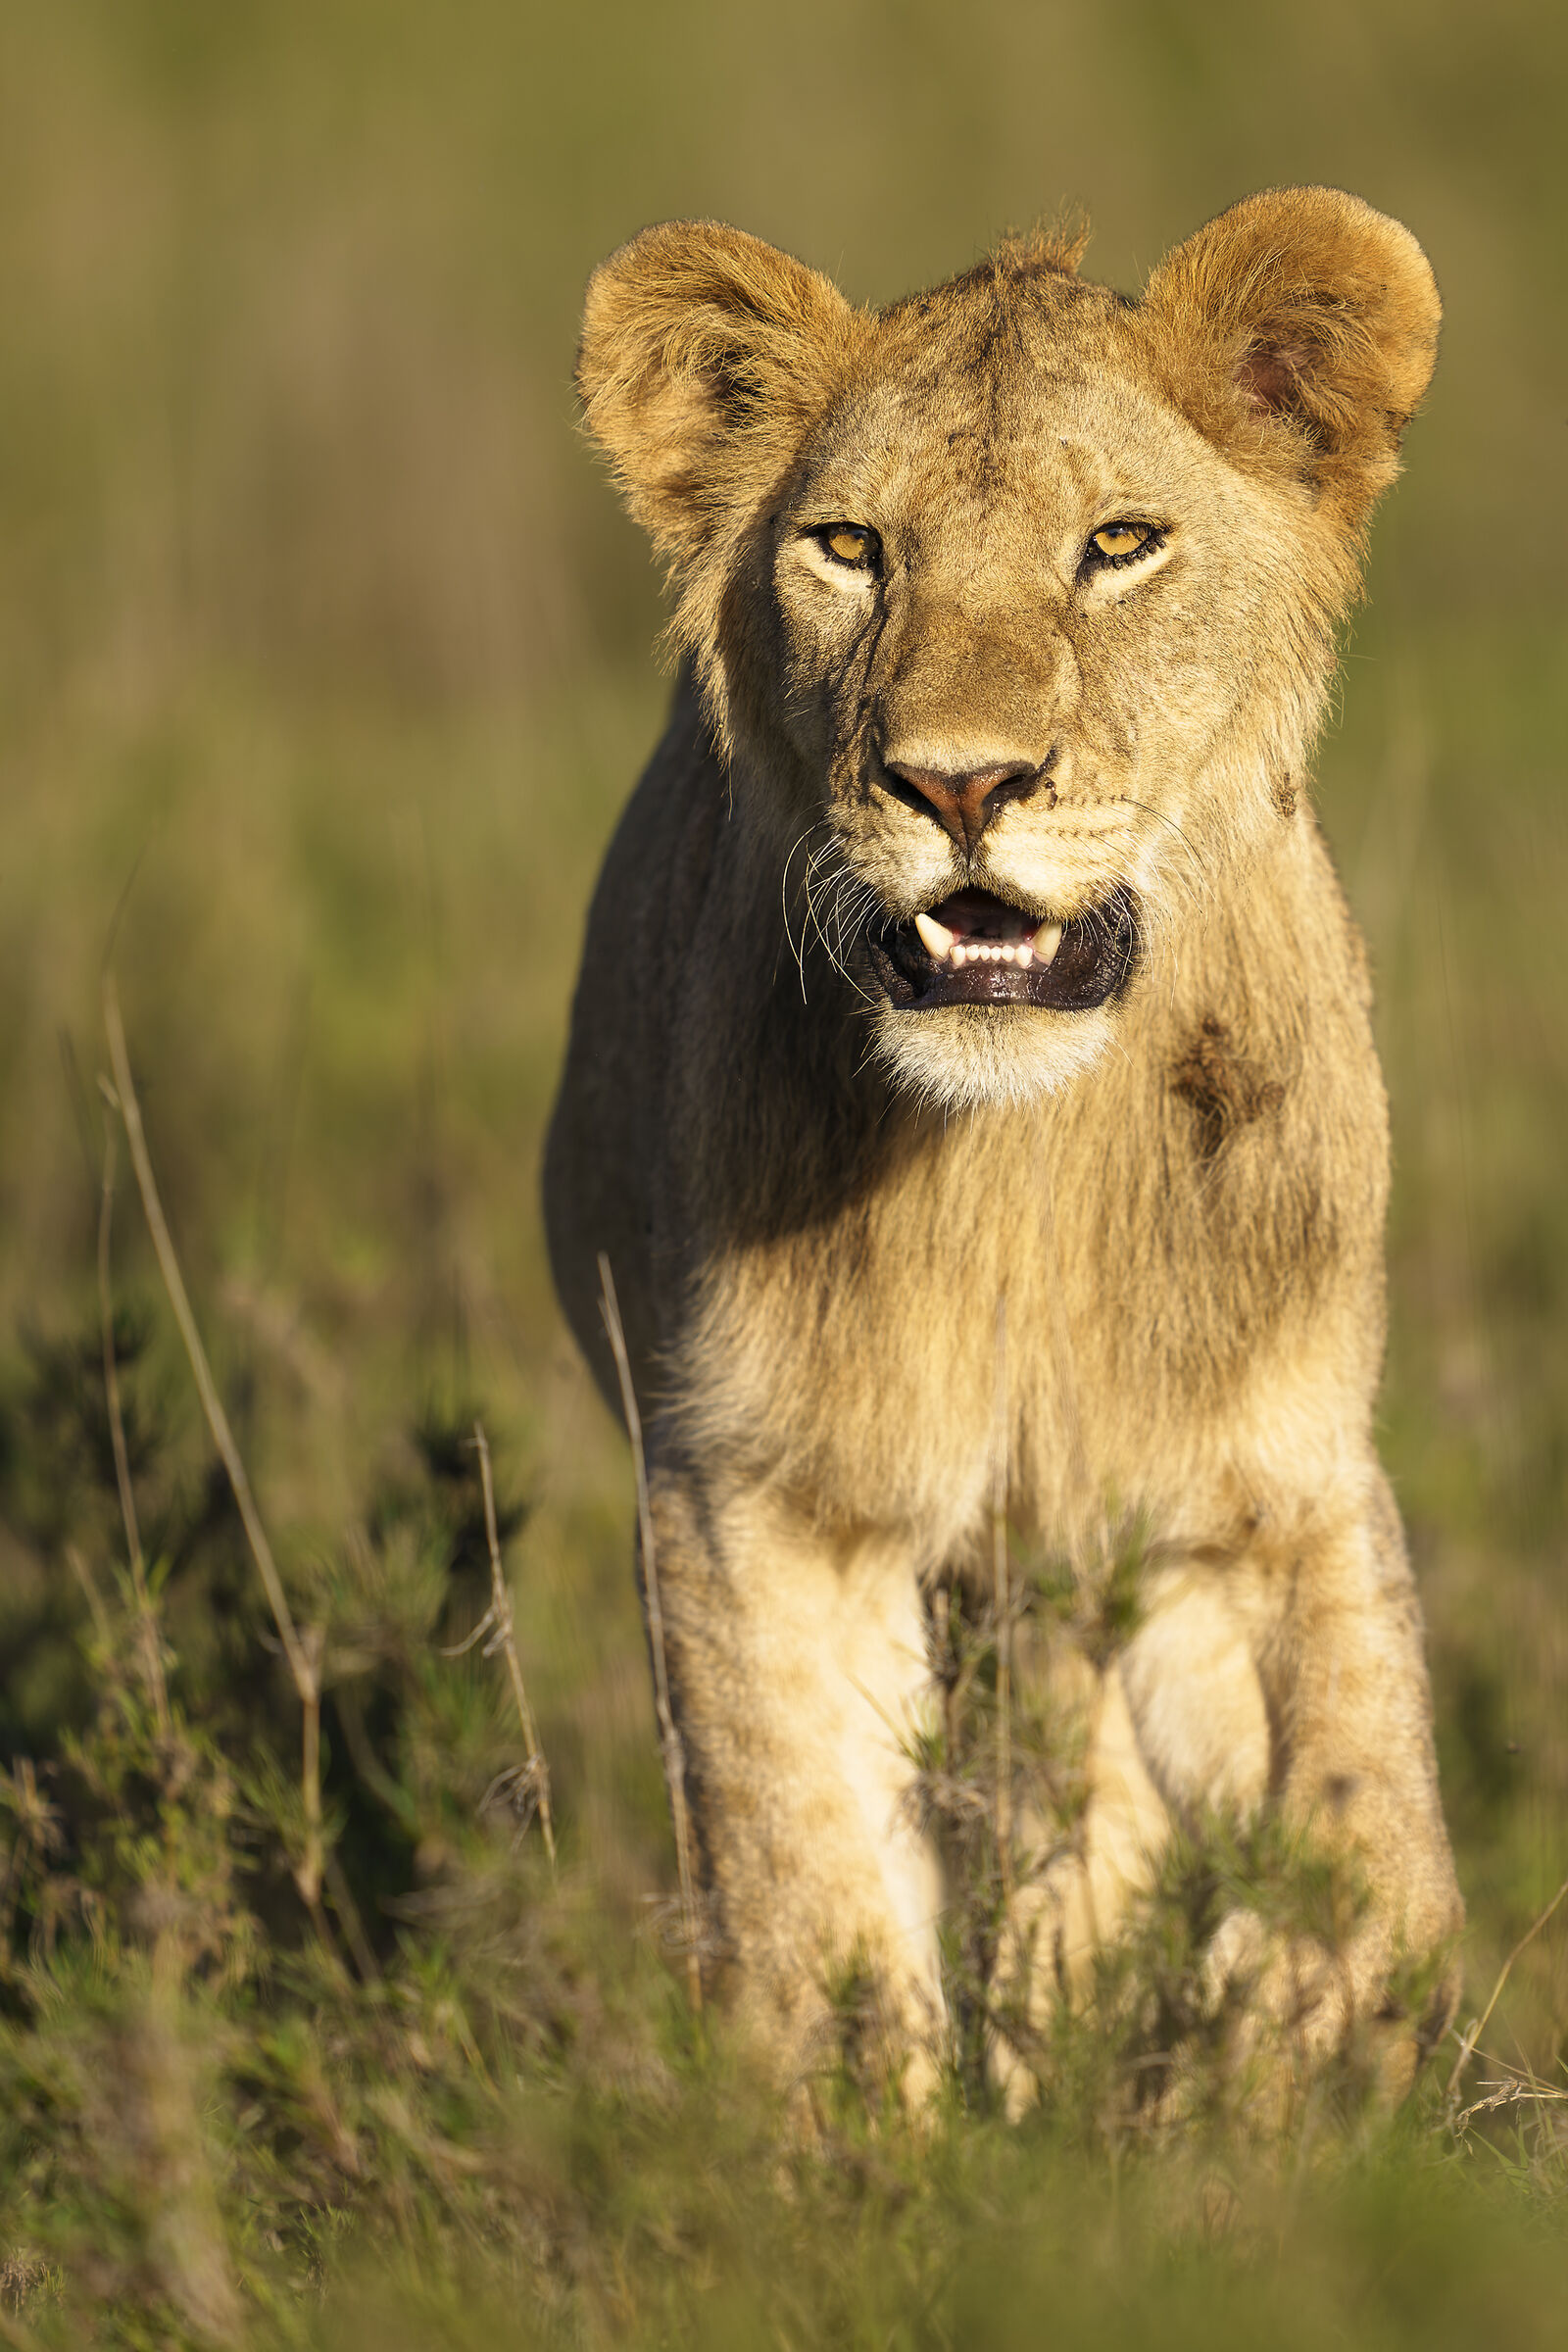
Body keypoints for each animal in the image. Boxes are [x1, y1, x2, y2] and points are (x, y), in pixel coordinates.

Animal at [545, 187, 1463, 2111]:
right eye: (849, 547)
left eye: (1118, 544)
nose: (960, 785)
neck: (1028, 1157)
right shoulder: (753, 1489)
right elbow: (809, 1918)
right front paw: (877, 2157)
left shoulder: (1273, 1480)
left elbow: (1374, 1848)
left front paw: (1256, 2073)